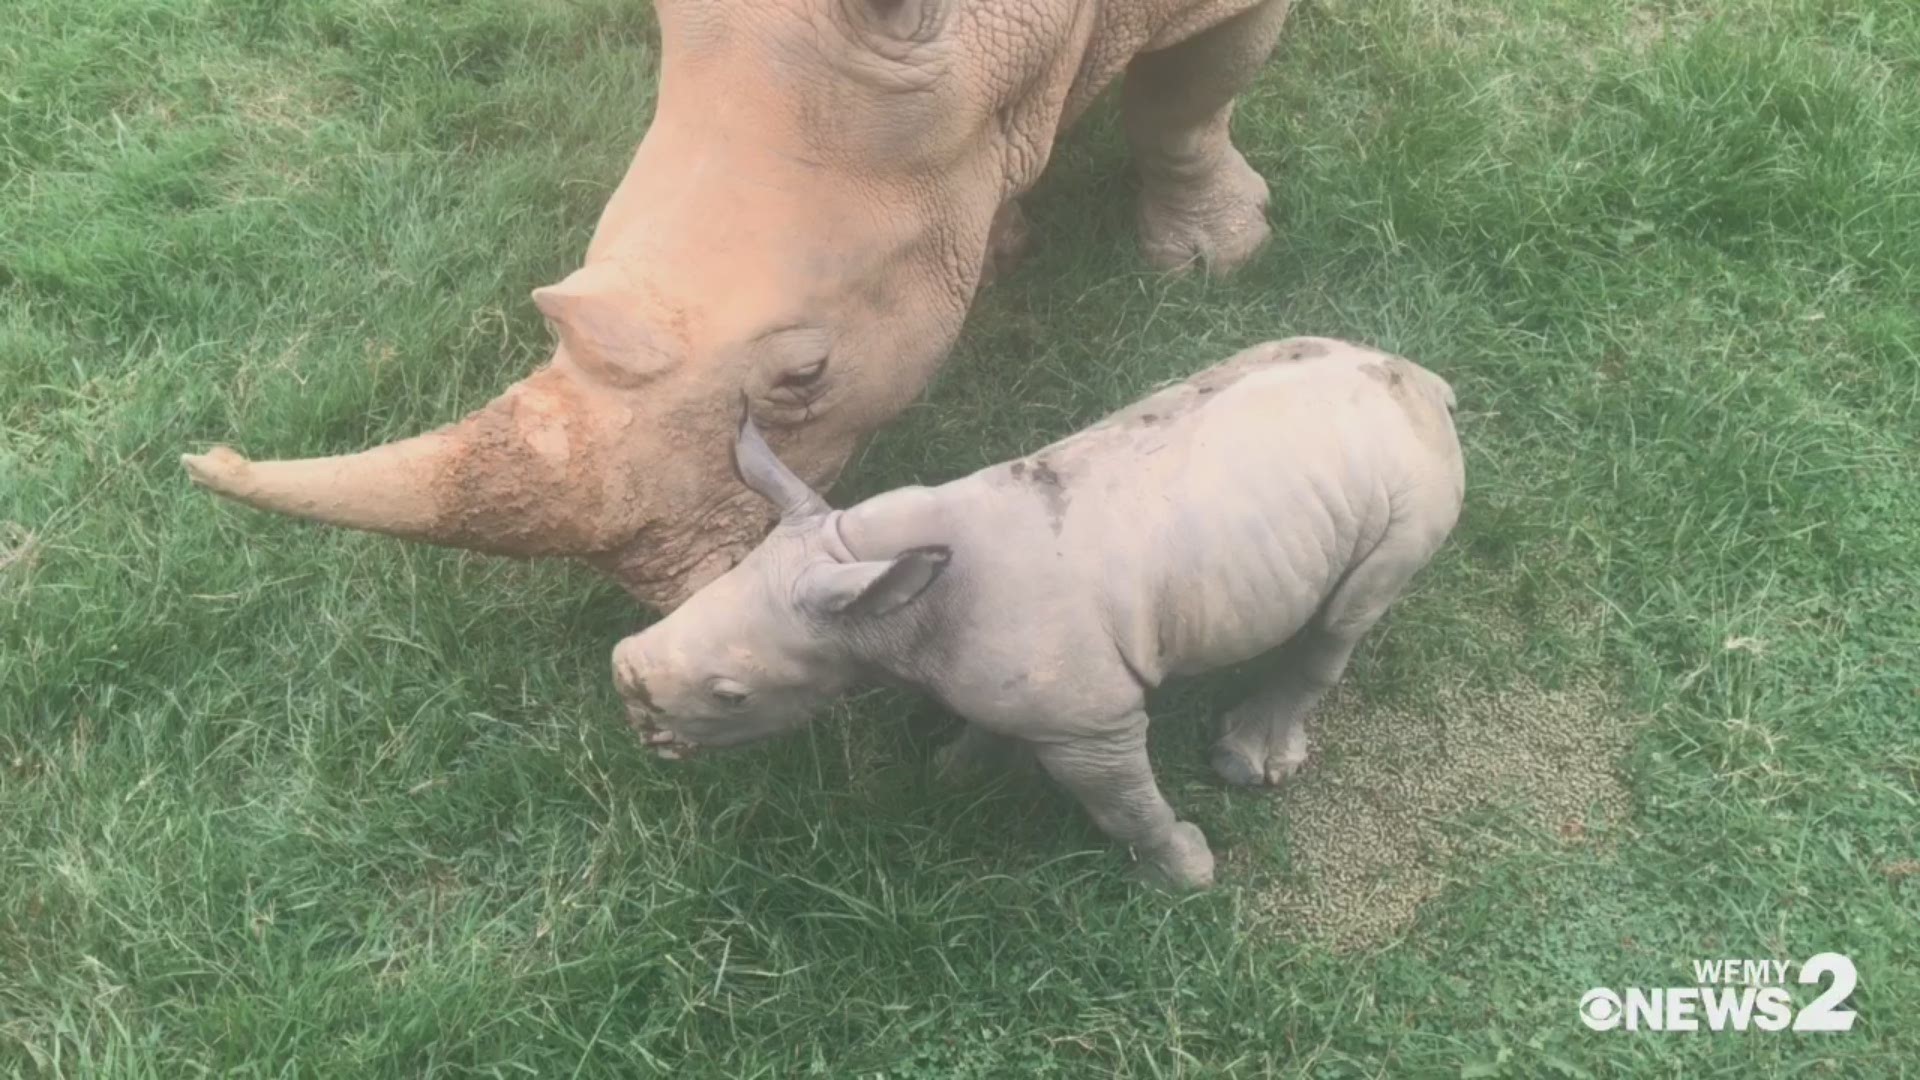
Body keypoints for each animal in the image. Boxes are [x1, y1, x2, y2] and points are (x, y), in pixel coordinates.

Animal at [622, 340, 1459, 887]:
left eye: (731, 696)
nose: (626, 685)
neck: (880, 611)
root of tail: (1427, 382)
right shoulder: (1005, 671)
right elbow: (987, 723)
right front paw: (953, 776)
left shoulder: (1094, 723)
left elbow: (1123, 807)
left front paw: (1187, 870)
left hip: (1414, 480)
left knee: (1346, 614)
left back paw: (1247, 761)